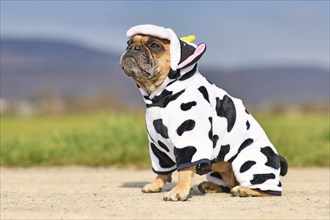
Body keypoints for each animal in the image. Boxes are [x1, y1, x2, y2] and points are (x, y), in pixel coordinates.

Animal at [120, 24, 288, 201]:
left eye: (154, 45)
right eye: (128, 43)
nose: (132, 48)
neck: (160, 97)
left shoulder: (189, 140)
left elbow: (184, 170)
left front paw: (179, 191)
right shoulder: (158, 146)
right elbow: (162, 170)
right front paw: (156, 184)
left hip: (247, 162)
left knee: (271, 190)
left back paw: (244, 190)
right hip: (219, 171)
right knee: (228, 185)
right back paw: (211, 186)